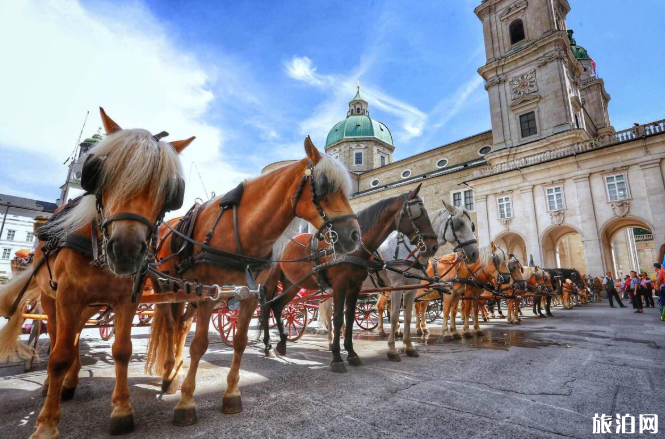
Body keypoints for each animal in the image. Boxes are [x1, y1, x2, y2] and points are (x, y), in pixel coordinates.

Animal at [0, 107, 192, 439]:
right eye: (99, 172)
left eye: (169, 190)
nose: (126, 251)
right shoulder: (67, 297)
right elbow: (59, 356)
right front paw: (47, 423)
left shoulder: (126, 300)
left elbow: (122, 350)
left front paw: (122, 409)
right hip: (52, 300)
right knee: (59, 338)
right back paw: (55, 384)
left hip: (87, 305)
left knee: (75, 335)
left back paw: (71, 380)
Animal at [143, 138, 360, 426]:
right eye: (324, 186)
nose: (355, 235)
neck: (241, 231)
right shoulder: (208, 295)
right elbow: (199, 346)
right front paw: (187, 402)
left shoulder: (247, 295)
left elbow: (240, 342)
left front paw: (231, 395)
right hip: (165, 287)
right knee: (169, 326)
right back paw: (169, 376)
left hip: (187, 293)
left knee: (181, 326)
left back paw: (174, 372)